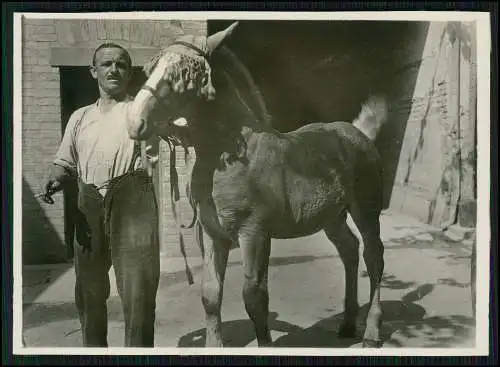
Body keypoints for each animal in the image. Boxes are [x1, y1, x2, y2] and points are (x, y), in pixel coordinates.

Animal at [127, 21, 388, 350]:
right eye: (152, 69)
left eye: (183, 76)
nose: (134, 123)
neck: (232, 155)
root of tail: (359, 133)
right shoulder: (214, 234)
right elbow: (210, 294)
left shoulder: (255, 234)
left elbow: (254, 297)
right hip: (332, 217)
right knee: (349, 250)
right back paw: (347, 324)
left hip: (366, 210)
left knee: (373, 257)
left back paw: (371, 333)